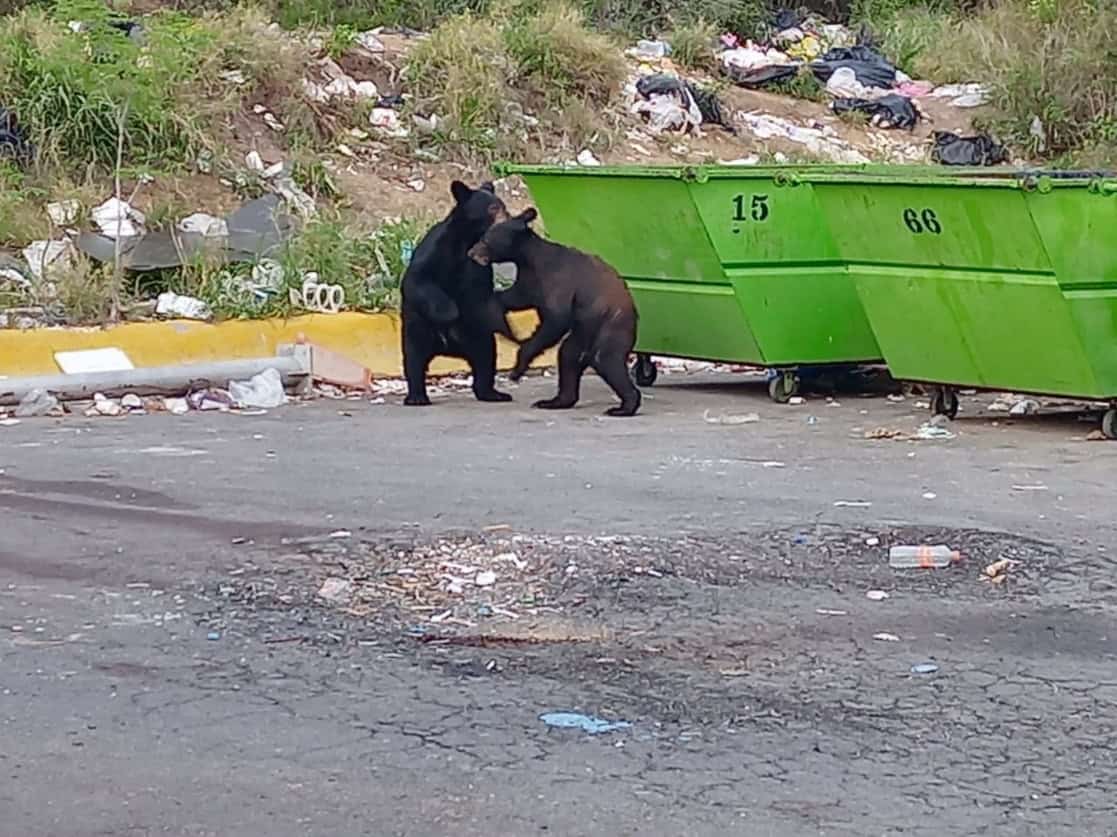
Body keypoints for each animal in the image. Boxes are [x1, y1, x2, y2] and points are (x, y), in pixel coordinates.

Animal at [399, 180, 517, 406]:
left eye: (504, 206)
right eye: (492, 208)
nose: (508, 219)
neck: (467, 241)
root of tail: (447, 348)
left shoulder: (478, 267)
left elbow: (480, 294)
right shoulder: (436, 249)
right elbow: (418, 279)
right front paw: (449, 312)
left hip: (478, 336)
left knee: (485, 359)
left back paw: (492, 393)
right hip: (418, 330)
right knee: (415, 359)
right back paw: (417, 396)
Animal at [467, 207, 642, 417]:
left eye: (485, 239)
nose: (471, 252)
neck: (531, 258)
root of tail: (634, 314)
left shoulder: (558, 280)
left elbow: (556, 318)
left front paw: (517, 369)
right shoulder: (529, 279)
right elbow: (515, 298)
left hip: (610, 323)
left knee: (606, 358)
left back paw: (624, 407)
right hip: (583, 332)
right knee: (568, 357)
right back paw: (553, 401)